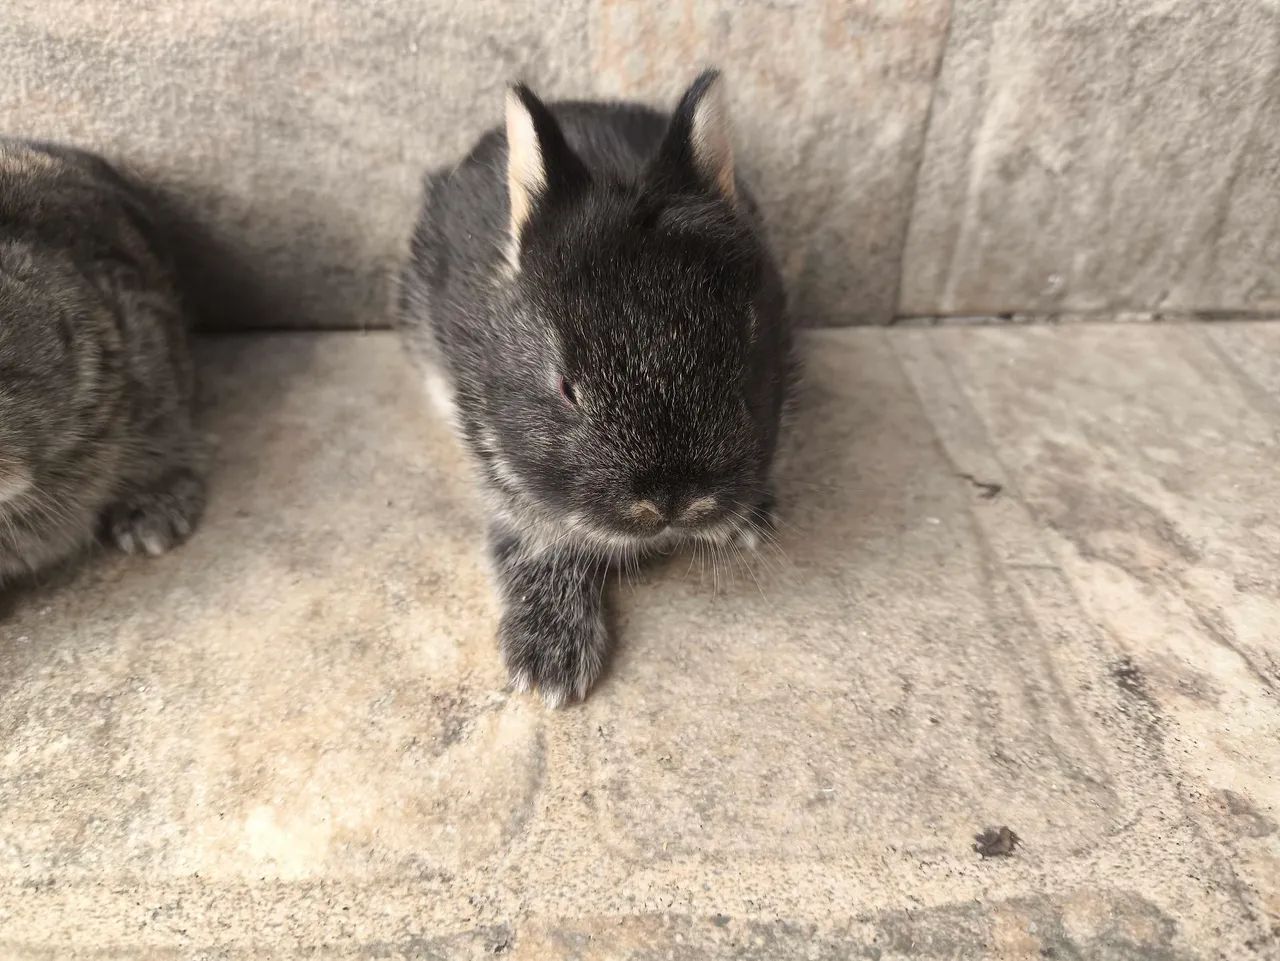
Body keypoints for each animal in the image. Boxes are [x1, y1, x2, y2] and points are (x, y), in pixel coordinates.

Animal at [397, 70, 793, 706]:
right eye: (565, 387)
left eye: (745, 357)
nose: (670, 505)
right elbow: (533, 533)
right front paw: (548, 665)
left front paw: (749, 523)